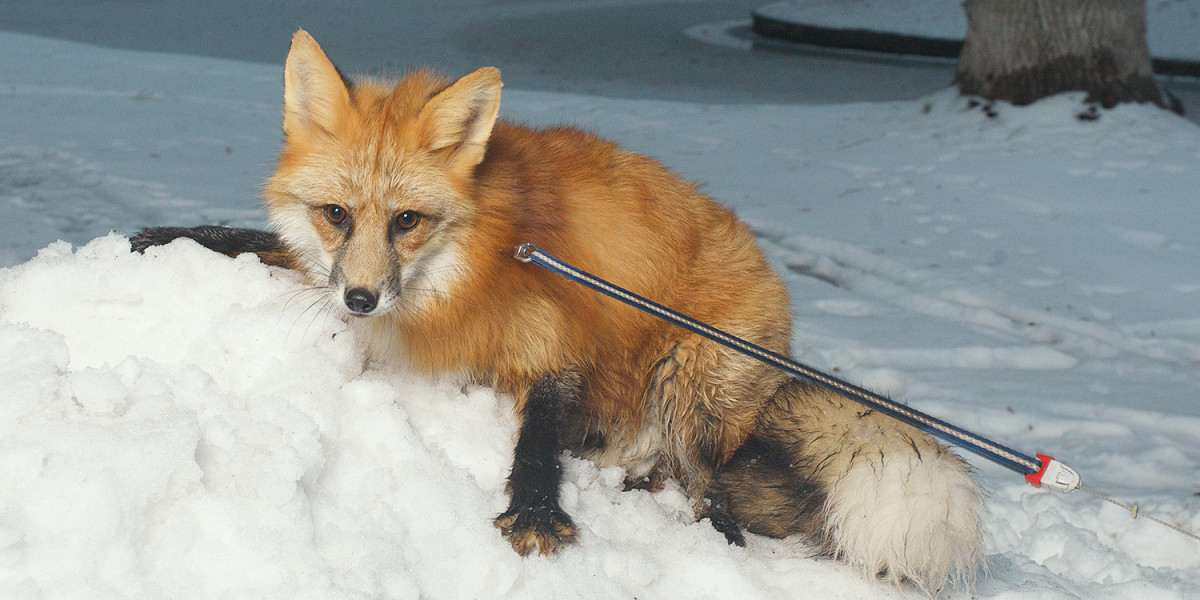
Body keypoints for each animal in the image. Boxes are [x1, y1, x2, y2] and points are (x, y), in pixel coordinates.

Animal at [131, 30, 979, 592]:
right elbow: (254, 245)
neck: (469, 265)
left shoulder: (557, 339)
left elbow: (535, 437)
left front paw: (536, 511)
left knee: (716, 498)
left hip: (687, 378)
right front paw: (172, 235)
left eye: (408, 221)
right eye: (336, 214)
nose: (361, 299)